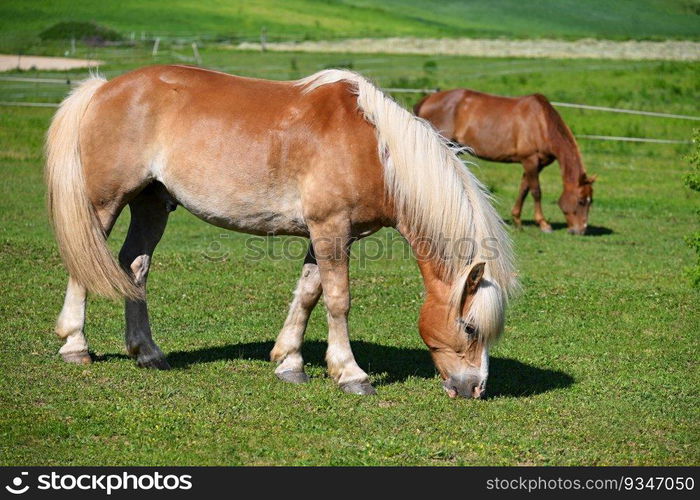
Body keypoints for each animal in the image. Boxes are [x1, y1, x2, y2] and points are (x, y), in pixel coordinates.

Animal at [43, 65, 516, 398]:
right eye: (469, 328)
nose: (474, 389)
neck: (376, 151)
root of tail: (102, 87)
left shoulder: (326, 234)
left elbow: (308, 294)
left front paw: (289, 362)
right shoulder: (331, 229)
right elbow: (338, 300)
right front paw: (350, 373)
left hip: (152, 204)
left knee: (134, 267)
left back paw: (147, 352)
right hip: (105, 202)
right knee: (86, 262)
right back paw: (75, 347)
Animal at [416, 88, 596, 234]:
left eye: (591, 201)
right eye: (581, 201)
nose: (580, 231)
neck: (541, 123)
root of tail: (428, 99)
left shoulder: (535, 165)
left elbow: (524, 189)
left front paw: (517, 221)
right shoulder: (530, 160)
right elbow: (536, 191)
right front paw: (544, 224)